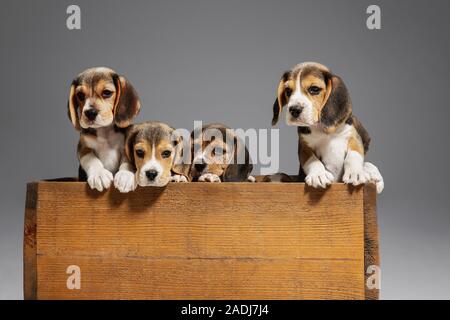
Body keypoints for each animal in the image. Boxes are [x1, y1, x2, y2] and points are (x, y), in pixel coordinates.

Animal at [270, 62, 384, 192]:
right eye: (288, 91)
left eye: (314, 89)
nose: (294, 109)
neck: (323, 130)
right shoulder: (304, 147)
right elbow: (312, 160)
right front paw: (319, 175)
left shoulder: (353, 137)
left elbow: (354, 154)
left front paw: (355, 173)